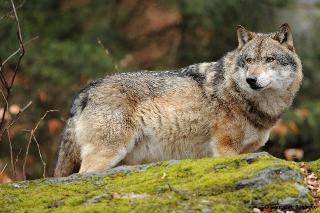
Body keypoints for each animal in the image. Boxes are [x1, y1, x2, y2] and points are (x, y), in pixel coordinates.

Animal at [54, 23, 302, 176]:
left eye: (269, 59)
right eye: (249, 60)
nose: (251, 79)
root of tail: (87, 89)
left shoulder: (246, 153)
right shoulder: (225, 150)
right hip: (107, 154)